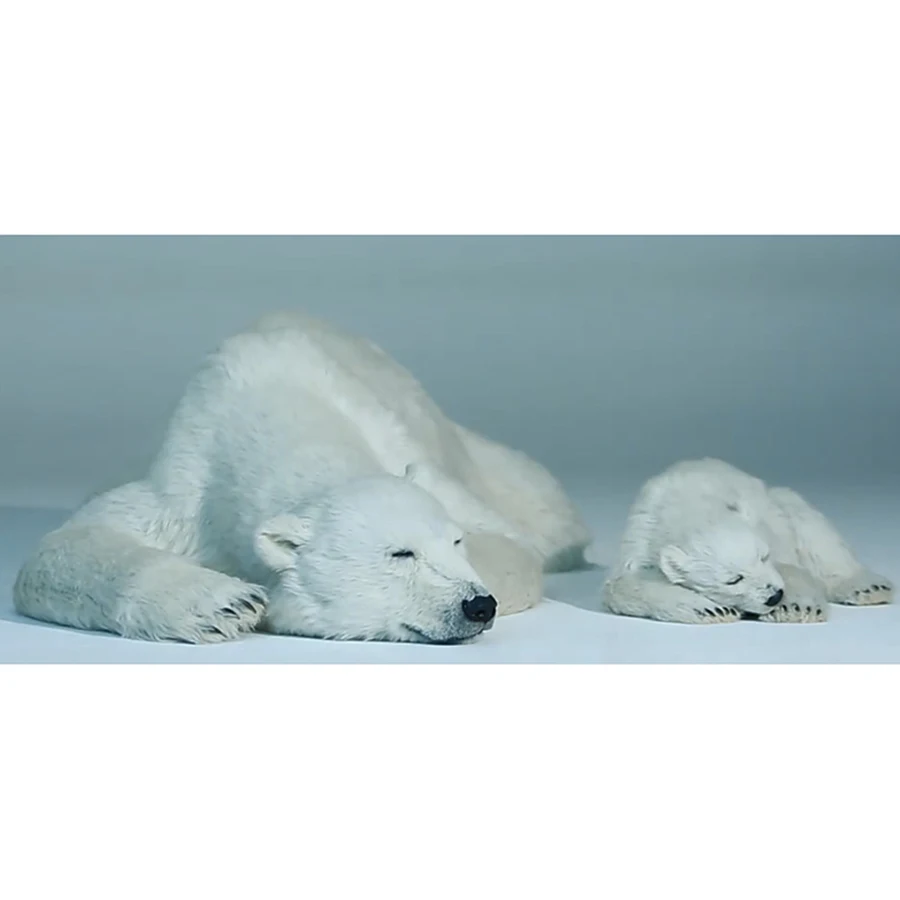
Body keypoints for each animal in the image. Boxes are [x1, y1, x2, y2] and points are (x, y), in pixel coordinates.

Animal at [13, 311, 592, 644]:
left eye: (455, 542)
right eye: (399, 553)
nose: (477, 605)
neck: (274, 406)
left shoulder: (409, 451)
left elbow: (512, 549)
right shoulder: (187, 476)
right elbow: (62, 548)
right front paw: (227, 604)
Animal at [602, 458, 893, 625]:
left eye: (763, 556)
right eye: (734, 580)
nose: (775, 596)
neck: (684, 505)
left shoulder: (767, 525)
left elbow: (791, 567)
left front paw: (796, 607)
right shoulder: (639, 538)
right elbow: (622, 586)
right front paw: (713, 610)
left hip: (783, 502)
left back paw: (869, 588)